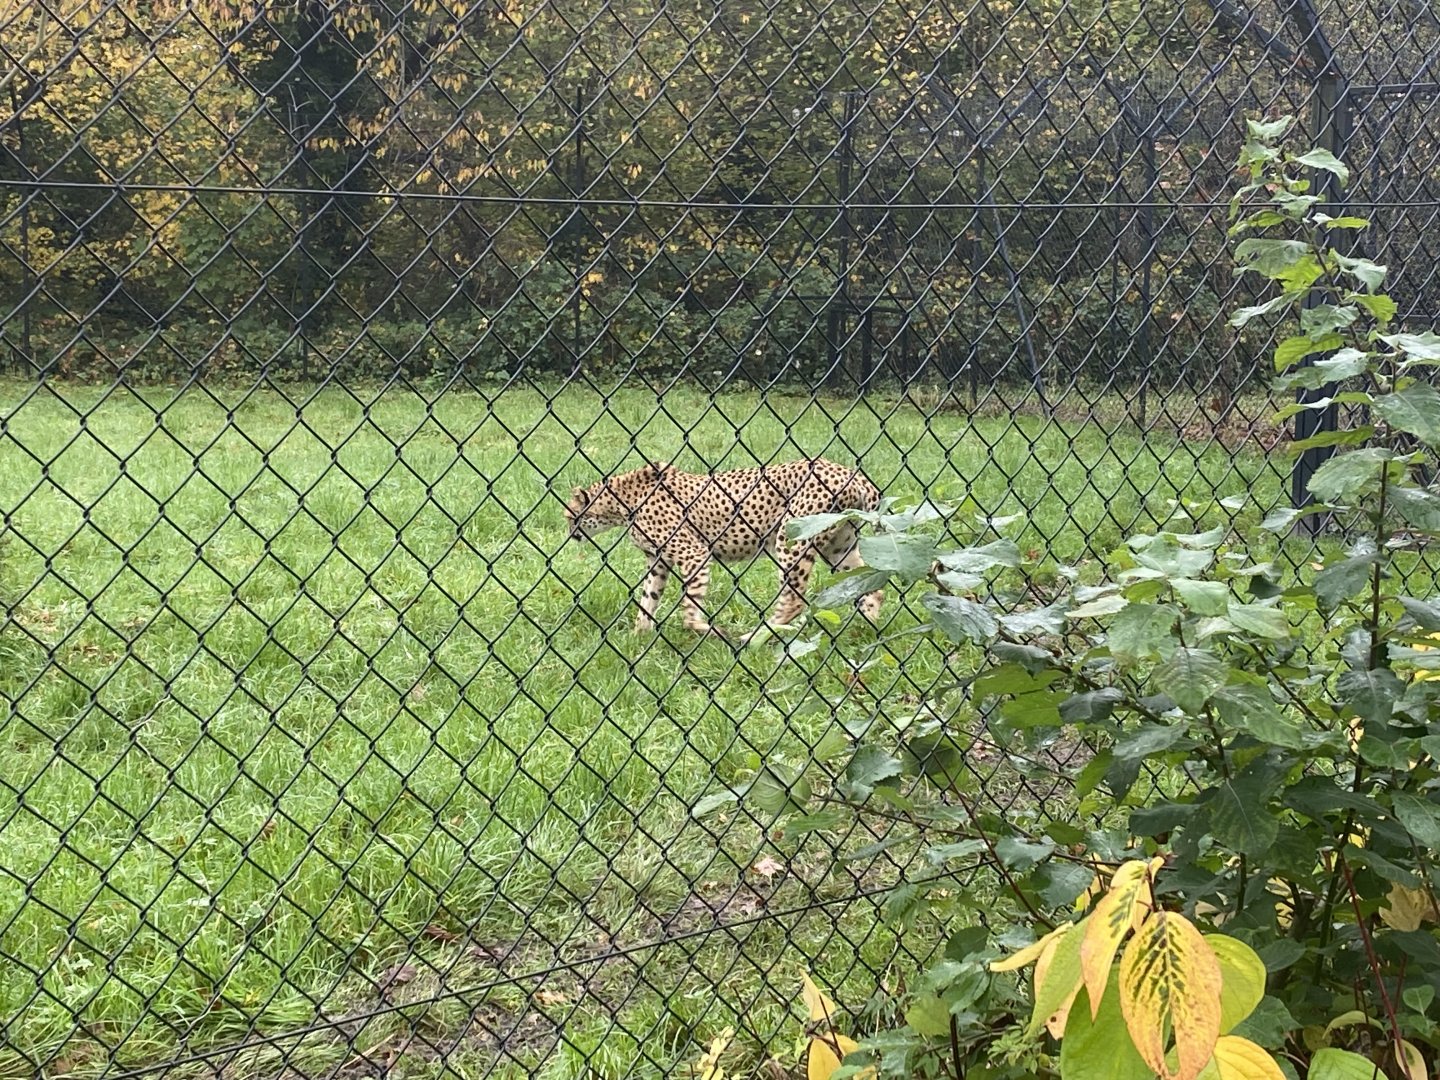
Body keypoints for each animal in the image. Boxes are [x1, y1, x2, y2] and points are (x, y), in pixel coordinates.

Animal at [564, 457, 884, 642]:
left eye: (569, 516)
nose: (570, 534)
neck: (621, 501)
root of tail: (850, 473)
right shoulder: (658, 561)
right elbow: (648, 599)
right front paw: (638, 637)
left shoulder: (694, 555)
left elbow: (688, 607)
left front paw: (703, 629)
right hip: (838, 545)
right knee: (870, 586)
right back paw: (865, 629)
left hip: (791, 539)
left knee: (794, 599)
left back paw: (753, 636)